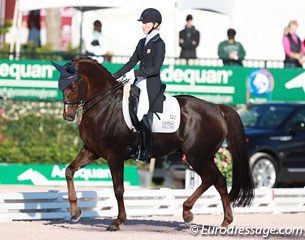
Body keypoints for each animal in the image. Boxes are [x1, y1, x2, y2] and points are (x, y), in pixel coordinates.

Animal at [51, 57, 252, 231]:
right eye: (61, 86)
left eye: (73, 86)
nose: (68, 116)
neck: (104, 105)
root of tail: (217, 108)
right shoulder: (92, 150)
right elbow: (69, 171)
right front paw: (75, 212)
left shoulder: (114, 156)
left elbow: (118, 189)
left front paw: (117, 221)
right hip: (203, 156)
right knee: (218, 180)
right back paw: (222, 221)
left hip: (197, 156)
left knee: (212, 178)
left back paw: (192, 213)